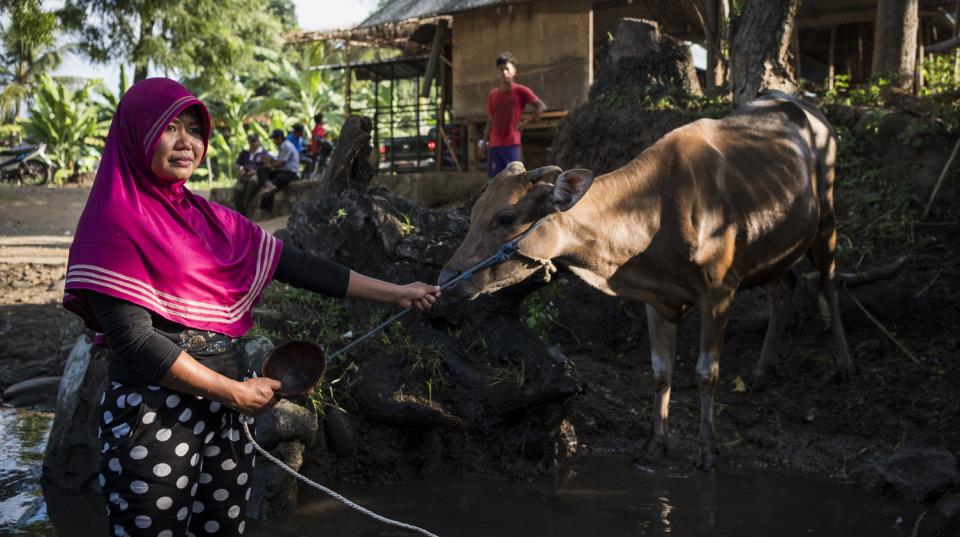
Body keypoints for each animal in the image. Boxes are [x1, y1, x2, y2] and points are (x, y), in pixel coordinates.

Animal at [438, 93, 852, 468]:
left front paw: (706, 451)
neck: (658, 212)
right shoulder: (657, 300)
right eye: (474, 213)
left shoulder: (719, 291)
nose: (446, 277)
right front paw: (654, 446)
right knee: (784, 291)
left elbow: (706, 373)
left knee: (829, 282)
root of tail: (807, 108)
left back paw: (842, 364)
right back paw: (761, 373)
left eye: (505, 217)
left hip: (827, 217)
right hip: (773, 248)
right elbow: (659, 372)